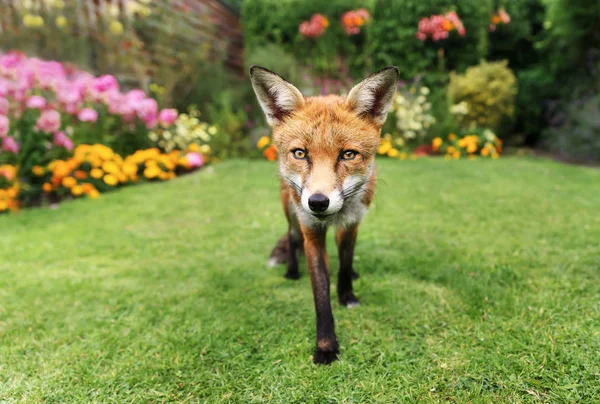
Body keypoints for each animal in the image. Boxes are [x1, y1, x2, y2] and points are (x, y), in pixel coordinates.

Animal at [248, 65, 398, 362]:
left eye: (348, 154)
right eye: (300, 153)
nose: (318, 202)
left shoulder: (351, 224)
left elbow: (345, 262)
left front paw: (346, 294)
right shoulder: (311, 232)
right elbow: (320, 291)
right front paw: (326, 346)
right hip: (290, 212)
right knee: (291, 238)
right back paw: (292, 271)